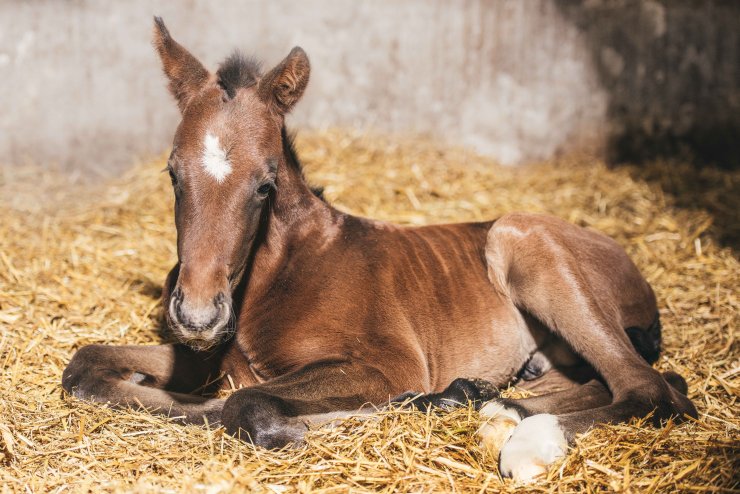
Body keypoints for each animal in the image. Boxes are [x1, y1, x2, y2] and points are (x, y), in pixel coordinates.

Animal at [60, 19, 696, 482]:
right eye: (173, 174)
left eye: (265, 185)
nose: (197, 315)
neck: (280, 272)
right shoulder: (202, 358)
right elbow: (84, 366)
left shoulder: (387, 363)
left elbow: (247, 403)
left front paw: (416, 403)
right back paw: (492, 398)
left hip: (519, 239)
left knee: (652, 389)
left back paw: (486, 410)